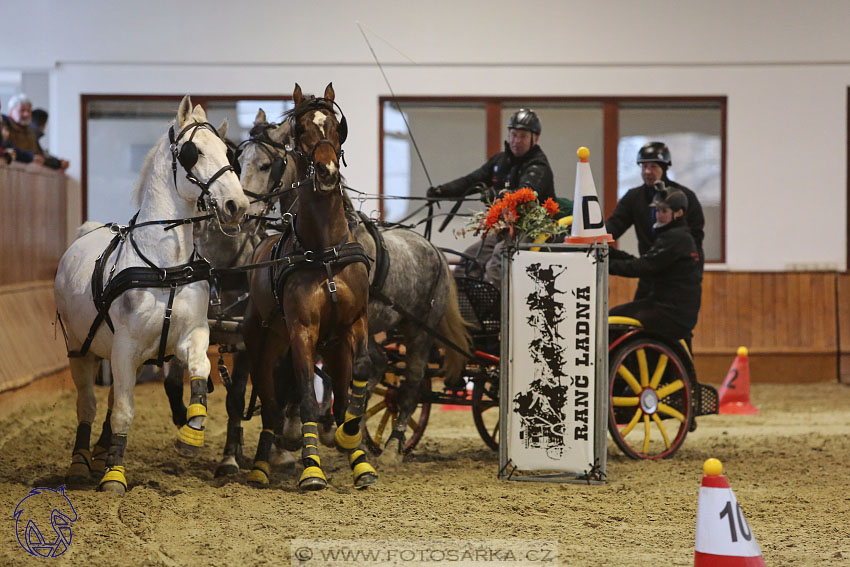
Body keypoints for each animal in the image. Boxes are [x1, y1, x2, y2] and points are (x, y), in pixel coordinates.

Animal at [55, 95, 248, 494]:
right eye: (192, 152)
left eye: (228, 152)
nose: (237, 205)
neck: (164, 267)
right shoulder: (125, 346)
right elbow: (125, 412)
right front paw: (114, 476)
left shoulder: (191, 334)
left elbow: (201, 370)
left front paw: (191, 433)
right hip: (79, 349)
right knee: (89, 404)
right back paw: (81, 462)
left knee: (110, 399)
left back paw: (100, 451)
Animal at [237, 82, 372, 490]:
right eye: (300, 130)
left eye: (336, 127)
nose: (327, 171)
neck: (324, 250)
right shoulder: (302, 330)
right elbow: (307, 399)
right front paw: (312, 468)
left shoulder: (354, 323)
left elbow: (358, 378)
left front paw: (354, 447)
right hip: (263, 346)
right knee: (270, 405)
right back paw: (261, 465)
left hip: (329, 347)